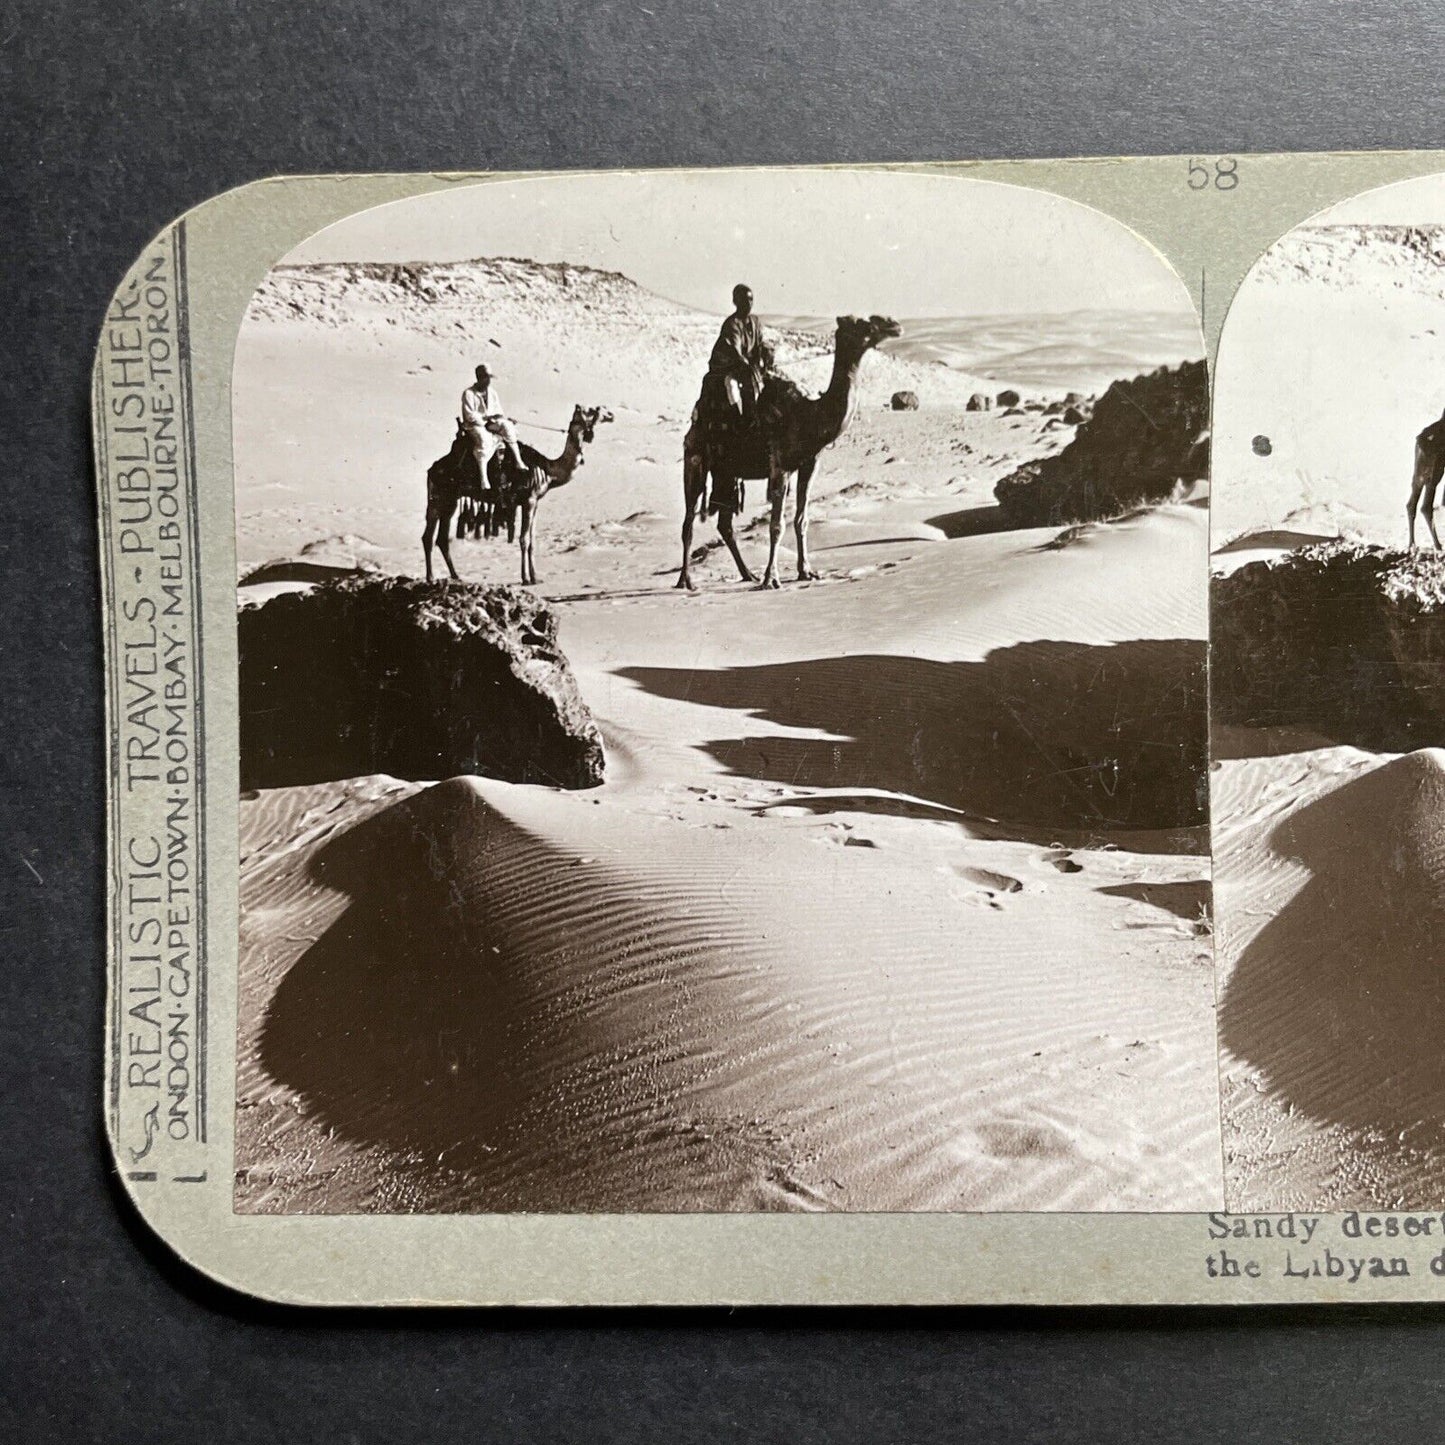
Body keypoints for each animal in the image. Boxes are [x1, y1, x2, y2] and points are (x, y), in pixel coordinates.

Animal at [676, 313, 901, 589]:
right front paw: (771, 578)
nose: (893, 325)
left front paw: (807, 571)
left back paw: (747, 574)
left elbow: (801, 520)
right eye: (862, 323)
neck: (809, 415)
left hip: (726, 473)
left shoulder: (809, 463)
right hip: (695, 459)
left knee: (724, 524)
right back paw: (685, 580)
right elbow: (776, 525)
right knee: (688, 521)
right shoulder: (780, 466)